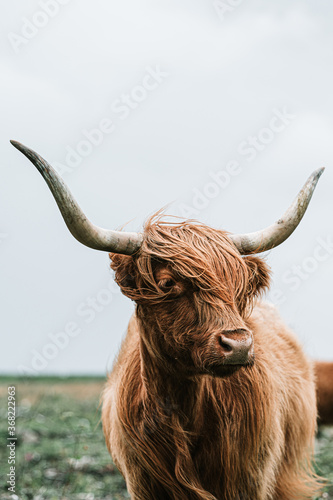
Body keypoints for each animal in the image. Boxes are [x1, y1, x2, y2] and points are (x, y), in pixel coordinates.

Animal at [11, 139, 324, 498]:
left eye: (238, 286)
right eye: (167, 284)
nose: (239, 345)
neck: (182, 409)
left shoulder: (250, 481)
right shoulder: (142, 483)